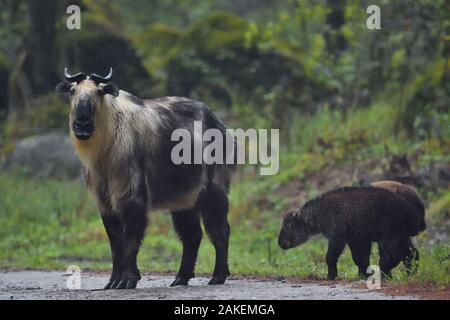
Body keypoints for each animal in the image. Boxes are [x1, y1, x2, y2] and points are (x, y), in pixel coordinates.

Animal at [278, 186, 422, 278]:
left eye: (289, 225)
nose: (280, 242)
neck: (319, 212)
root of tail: (411, 212)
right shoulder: (355, 239)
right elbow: (360, 258)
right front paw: (363, 274)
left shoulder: (337, 237)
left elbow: (330, 257)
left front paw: (331, 275)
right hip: (402, 236)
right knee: (412, 254)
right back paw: (410, 274)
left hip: (389, 237)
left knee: (396, 255)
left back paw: (384, 271)